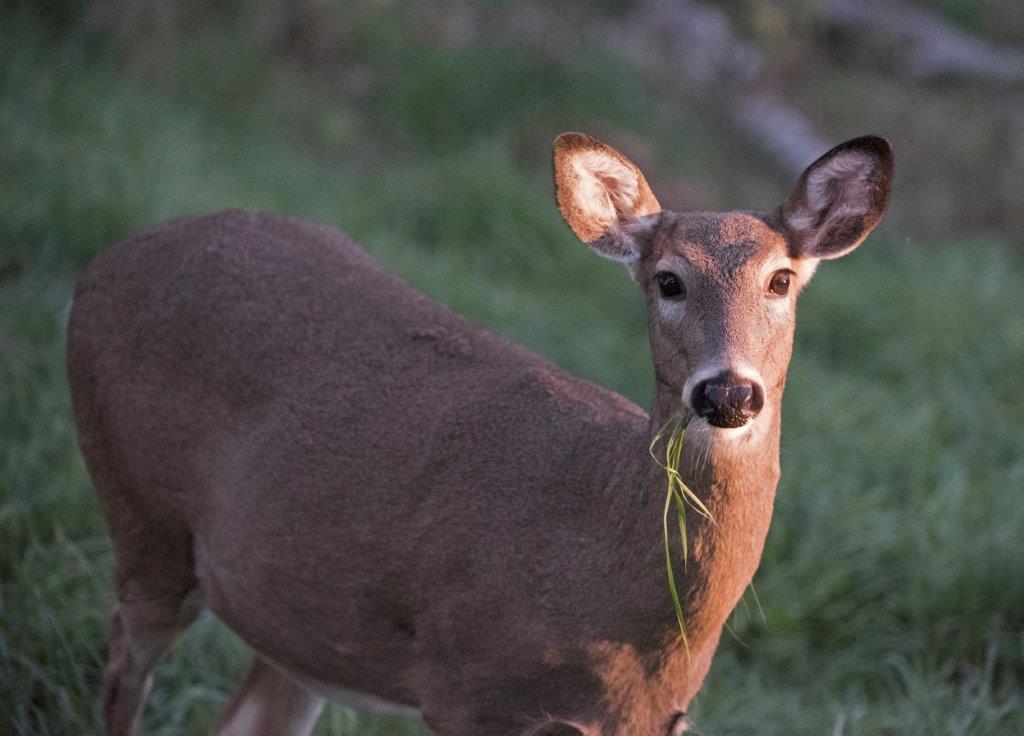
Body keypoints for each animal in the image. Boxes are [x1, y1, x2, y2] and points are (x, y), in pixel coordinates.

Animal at [67, 132, 892, 736]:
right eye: (668, 281)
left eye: (780, 279)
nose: (727, 392)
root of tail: (107, 261)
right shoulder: (467, 687)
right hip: (142, 513)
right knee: (122, 669)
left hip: (298, 615)